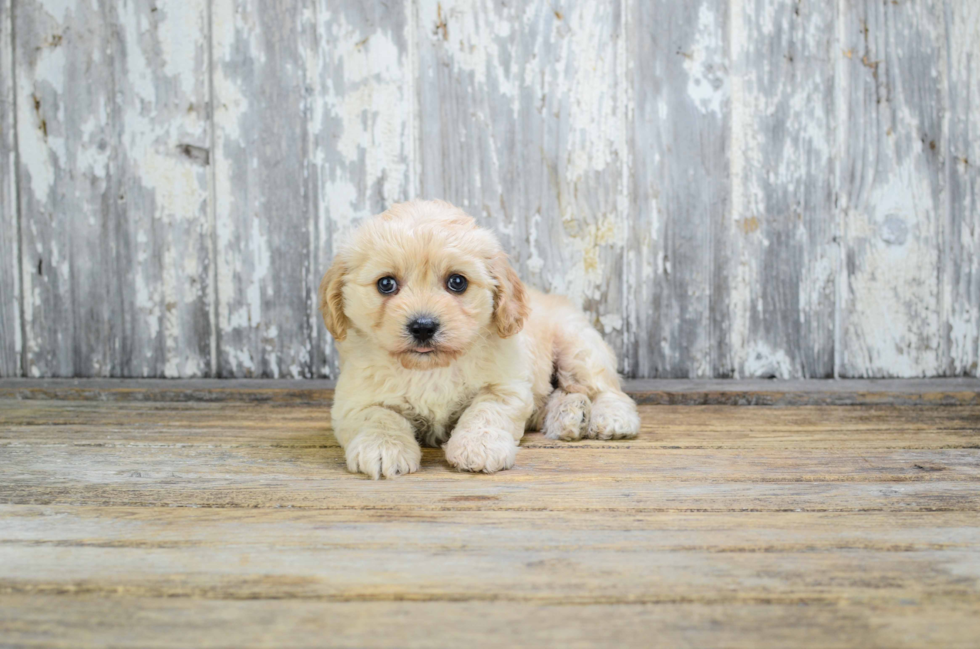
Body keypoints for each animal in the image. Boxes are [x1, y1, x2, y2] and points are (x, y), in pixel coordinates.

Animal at [322, 200, 640, 478]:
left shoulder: (506, 387)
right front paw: (383, 448)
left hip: (578, 347)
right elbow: (378, 417)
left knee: (604, 389)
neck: (431, 369)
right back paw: (569, 416)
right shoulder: (355, 400)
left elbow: (485, 411)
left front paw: (479, 447)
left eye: (457, 282)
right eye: (386, 284)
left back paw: (609, 419)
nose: (423, 327)